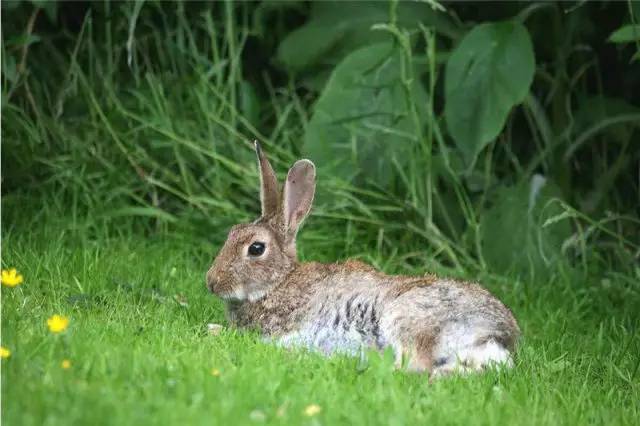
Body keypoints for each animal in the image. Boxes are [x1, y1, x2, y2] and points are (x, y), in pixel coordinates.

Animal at [206, 141, 520, 378]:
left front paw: (216, 330)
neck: (279, 282)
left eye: (256, 248)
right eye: (231, 233)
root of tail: (497, 334)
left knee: (414, 365)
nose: (211, 282)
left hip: (408, 317)